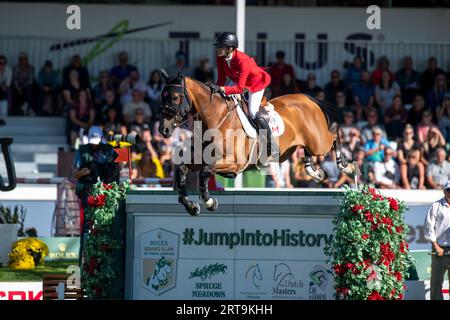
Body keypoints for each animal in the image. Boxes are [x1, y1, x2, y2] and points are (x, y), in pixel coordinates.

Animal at [158, 74, 356, 216]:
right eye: (162, 96)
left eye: (175, 97)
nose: (163, 129)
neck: (216, 118)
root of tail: (307, 98)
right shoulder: (202, 159)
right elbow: (182, 170)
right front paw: (191, 205)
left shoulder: (234, 164)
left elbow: (206, 172)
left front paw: (209, 201)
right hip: (297, 146)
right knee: (308, 149)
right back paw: (313, 171)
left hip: (318, 141)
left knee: (334, 131)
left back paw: (346, 166)